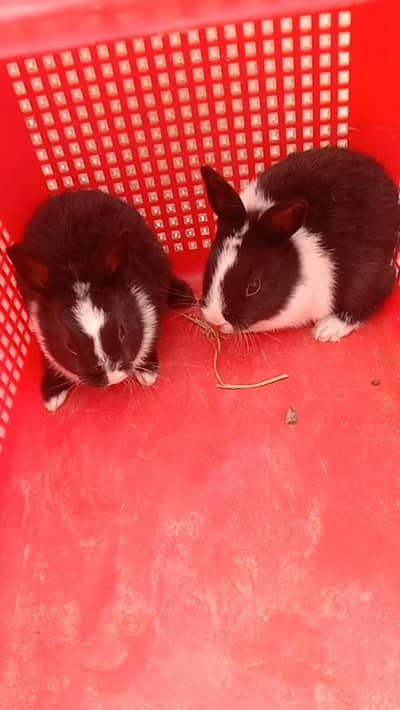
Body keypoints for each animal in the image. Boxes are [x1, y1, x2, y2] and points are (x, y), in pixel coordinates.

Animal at [8, 189, 194, 412]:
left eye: (122, 331)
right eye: (70, 347)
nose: (112, 378)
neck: (76, 268)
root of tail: (75, 193)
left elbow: (150, 340)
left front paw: (148, 372)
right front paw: (52, 397)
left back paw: (185, 296)